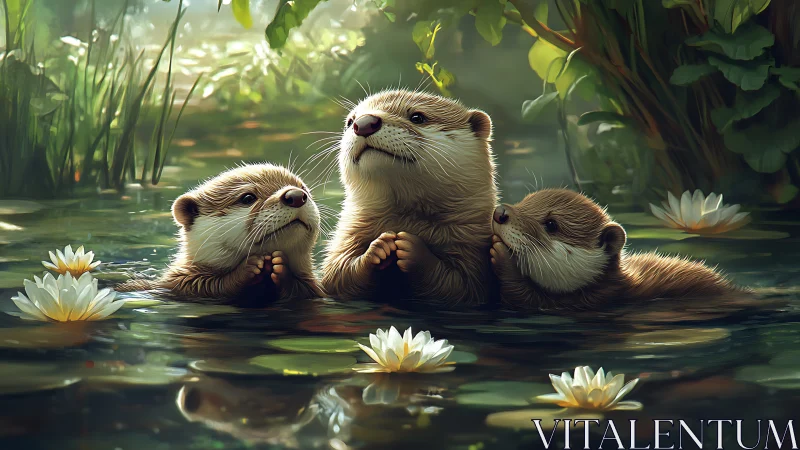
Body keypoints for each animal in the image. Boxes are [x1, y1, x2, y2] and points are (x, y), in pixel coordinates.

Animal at [118, 163, 324, 303]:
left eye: (304, 189)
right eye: (247, 197)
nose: (296, 196)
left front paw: (281, 267)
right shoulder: (185, 283)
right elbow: (216, 284)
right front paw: (249, 267)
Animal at [321, 89, 497, 305]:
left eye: (417, 117)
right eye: (350, 121)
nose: (364, 123)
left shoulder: (473, 255)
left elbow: (459, 287)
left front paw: (413, 250)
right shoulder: (346, 240)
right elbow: (339, 274)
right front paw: (378, 247)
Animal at [489, 189, 739, 309]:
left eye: (551, 224)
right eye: (525, 200)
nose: (500, 212)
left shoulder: (591, 300)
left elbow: (523, 296)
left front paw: (501, 256)